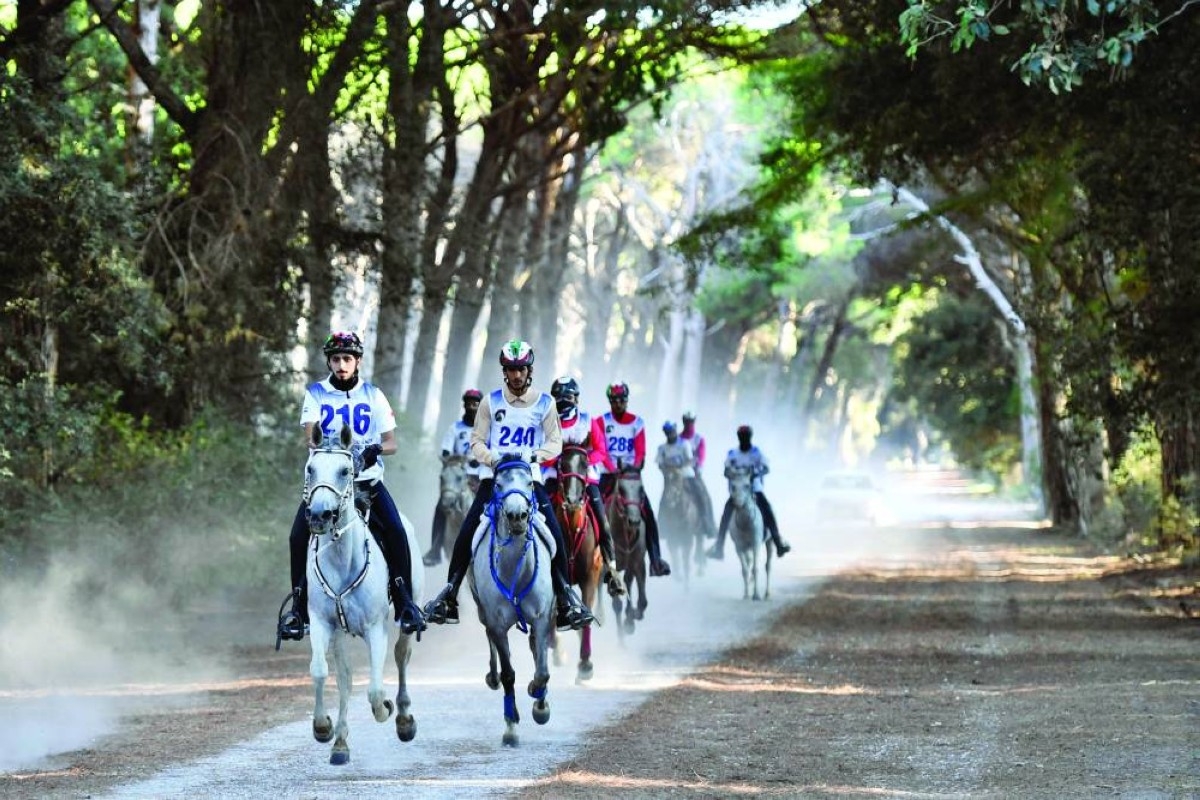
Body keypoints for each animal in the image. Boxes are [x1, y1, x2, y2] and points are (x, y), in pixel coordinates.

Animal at [302, 424, 424, 762]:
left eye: (345, 470)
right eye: (310, 468)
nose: (319, 515)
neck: (342, 558)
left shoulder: (374, 628)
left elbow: (375, 689)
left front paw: (386, 709)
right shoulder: (322, 622)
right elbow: (321, 672)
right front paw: (323, 727)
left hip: (406, 618)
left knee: (401, 656)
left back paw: (404, 719)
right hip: (340, 633)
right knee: (344, 678)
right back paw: (340, 742)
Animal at [470, 453, 559, 748]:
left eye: (529, 482)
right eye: (498, 484)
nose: (517, 516)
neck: (515, 573)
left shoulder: (542, 618)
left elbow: (542, 670)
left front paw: (540, 704)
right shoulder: (497, 624)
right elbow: (509, 673)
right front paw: (511, 727)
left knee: (535, 650)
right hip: (482, 611)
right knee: (490, 641)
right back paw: (493, 677)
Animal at [724, 462, 772, 599]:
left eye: (747, 485)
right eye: (733, 486)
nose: (738, 503)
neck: (746, 523)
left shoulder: (756, 543)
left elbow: (756, 568)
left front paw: (756, 595)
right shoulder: (739, 546)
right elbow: (745, 570)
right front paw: (746, 595)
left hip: (769, 541)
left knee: (768, 566)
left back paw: (767, 594)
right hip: (747, 547)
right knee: (749, 562)